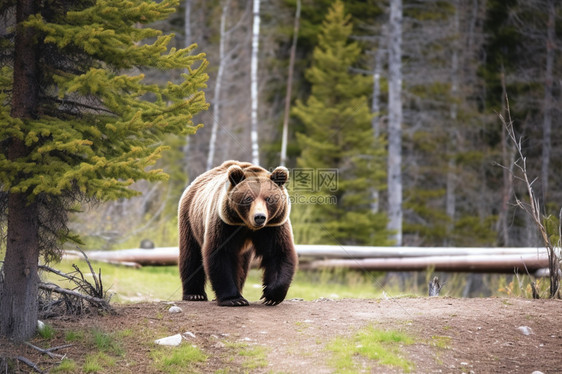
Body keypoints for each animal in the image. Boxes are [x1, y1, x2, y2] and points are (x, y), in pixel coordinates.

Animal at [177, 159, 298, 306]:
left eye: (269, 199)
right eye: (248, 198)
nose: (259, 217)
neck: (247, 226)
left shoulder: (273, 226)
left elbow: (278, 253)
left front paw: (271, 295)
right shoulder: (225, 225)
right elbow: (221, 255)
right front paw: (234, 299)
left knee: (242, 265)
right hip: (190, 219)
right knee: (191, 255)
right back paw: (195, 294)